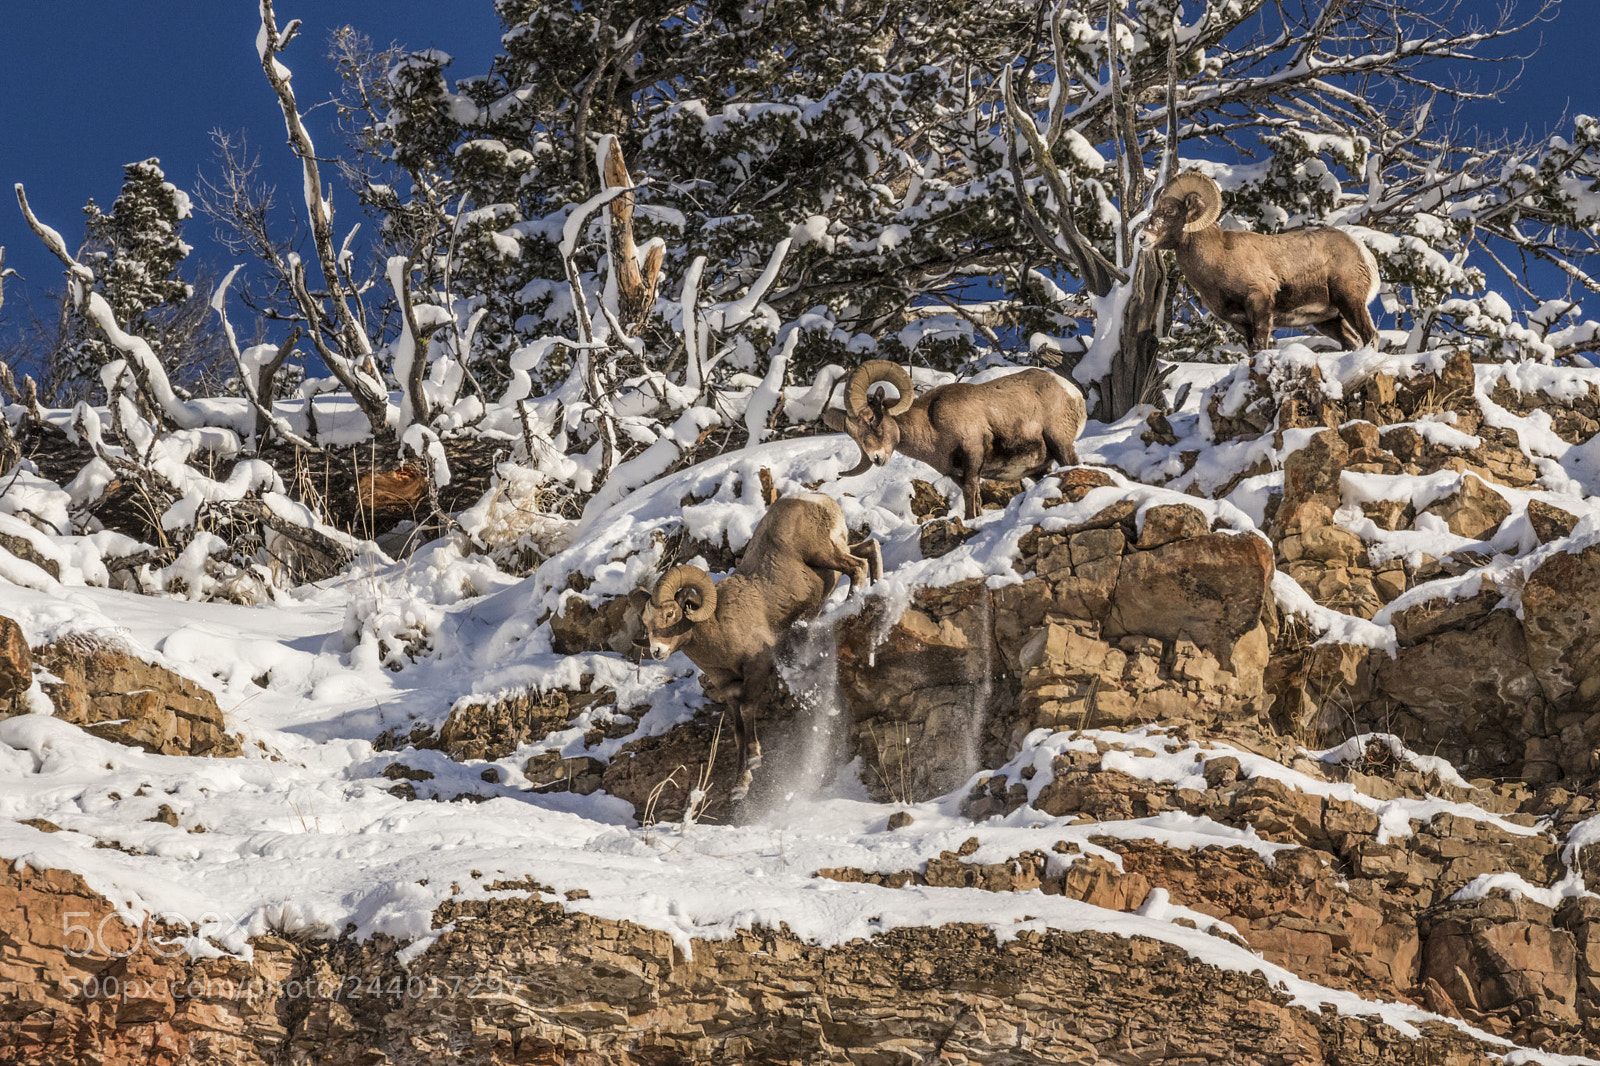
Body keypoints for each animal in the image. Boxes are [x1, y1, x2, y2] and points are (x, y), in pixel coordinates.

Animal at [629, 492, 882, 801]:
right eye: (646, 622)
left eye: (669, 614)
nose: (657, 652)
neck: (719, 631)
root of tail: (816, 499)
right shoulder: (728, 687)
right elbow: (738, 730)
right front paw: (741, 785)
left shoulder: (757, 668)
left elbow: (749, 710)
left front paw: (754, 760)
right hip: (837, 549)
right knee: (870, 548)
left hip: (824, 553)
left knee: (857, 566)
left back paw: (852, 602)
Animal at [823, 362, 1085, 521]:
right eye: (855, 434)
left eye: (872, 419)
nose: (876, 458)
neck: (932, 424)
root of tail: (1071, 391)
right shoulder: (958, 475)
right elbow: (975, 502)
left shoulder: (972, 462)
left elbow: (970, 499)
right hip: (1039, 469)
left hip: (1061, 445)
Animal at [1143, 171, 1381, 352]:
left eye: (1170, 210)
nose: (1143, 238)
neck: (1218, 258)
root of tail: (1363, 252)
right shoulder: (1240, 323)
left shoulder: (1260, 303)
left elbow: (1261, 346)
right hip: (1329, 320)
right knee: (1352, 342)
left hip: (1351, 301)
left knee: (1371, 336)